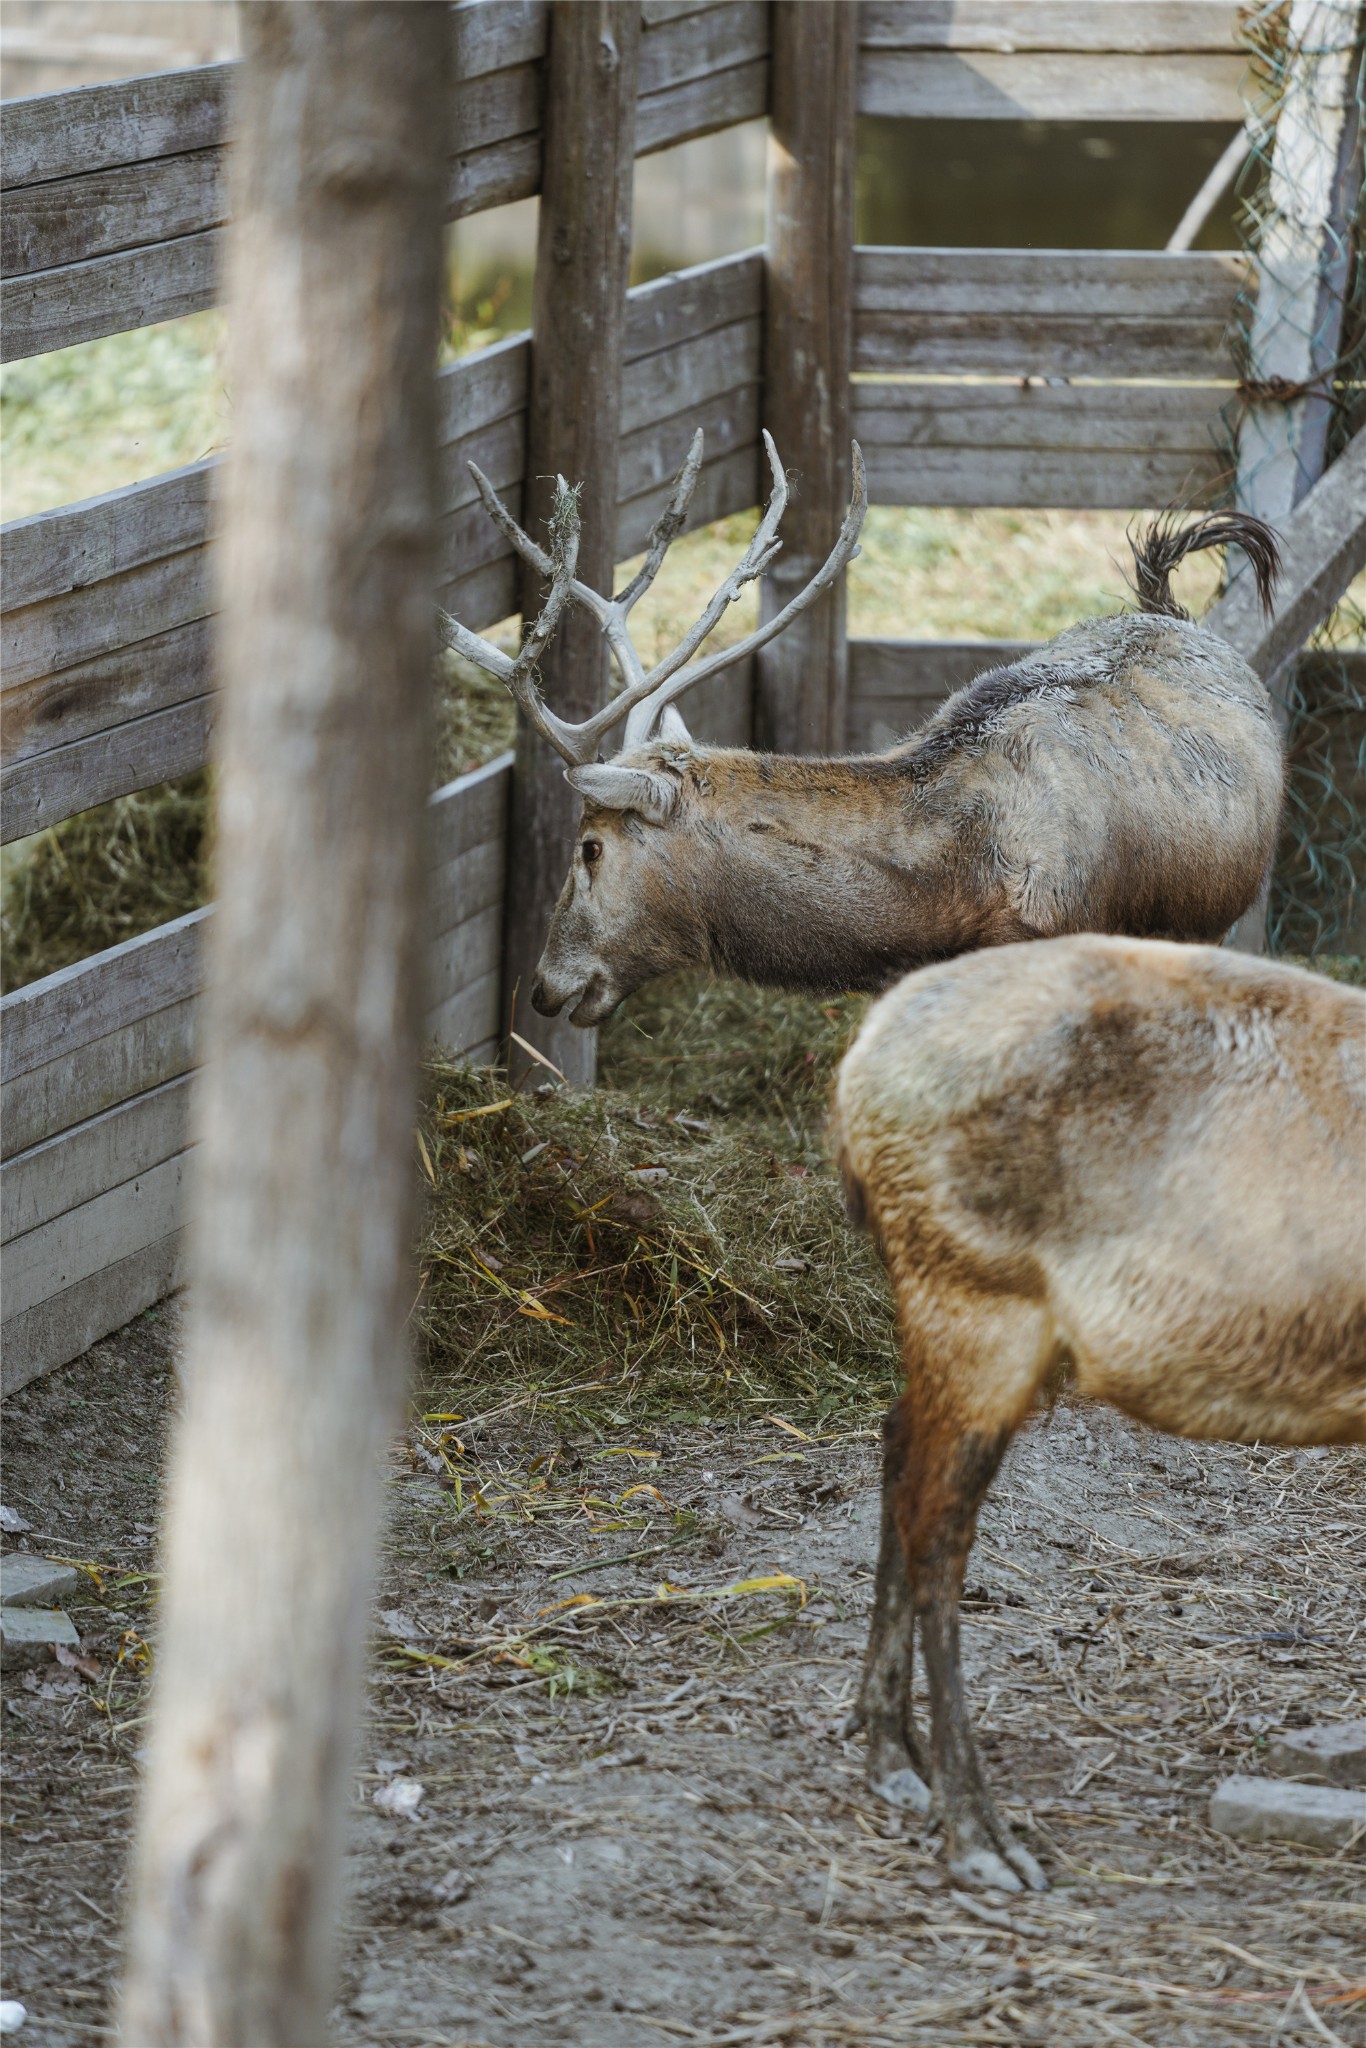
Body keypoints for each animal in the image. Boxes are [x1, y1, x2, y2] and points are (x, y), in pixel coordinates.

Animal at [835, 937, 1366, 1892]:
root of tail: (863, 1052)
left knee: (896, 1443)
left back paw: (894, 1756)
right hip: (977, 1297)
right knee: (937, 1523)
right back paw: (977, 1832)